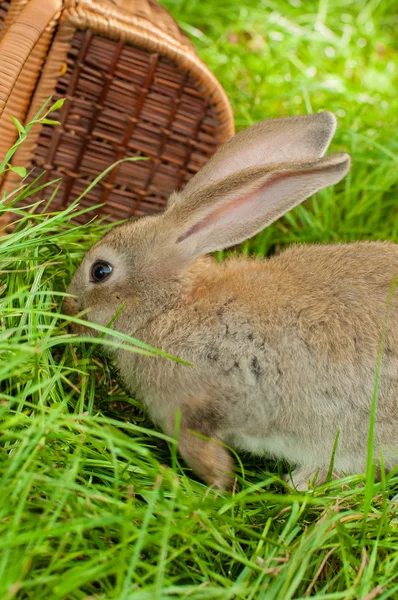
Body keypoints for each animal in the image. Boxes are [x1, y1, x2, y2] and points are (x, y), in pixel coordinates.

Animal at [63, 112, 398, 492]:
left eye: (100, 271)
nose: (67, 311)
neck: (168, 306)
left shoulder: (190, 409)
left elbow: (205, 455)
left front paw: (214, 489)